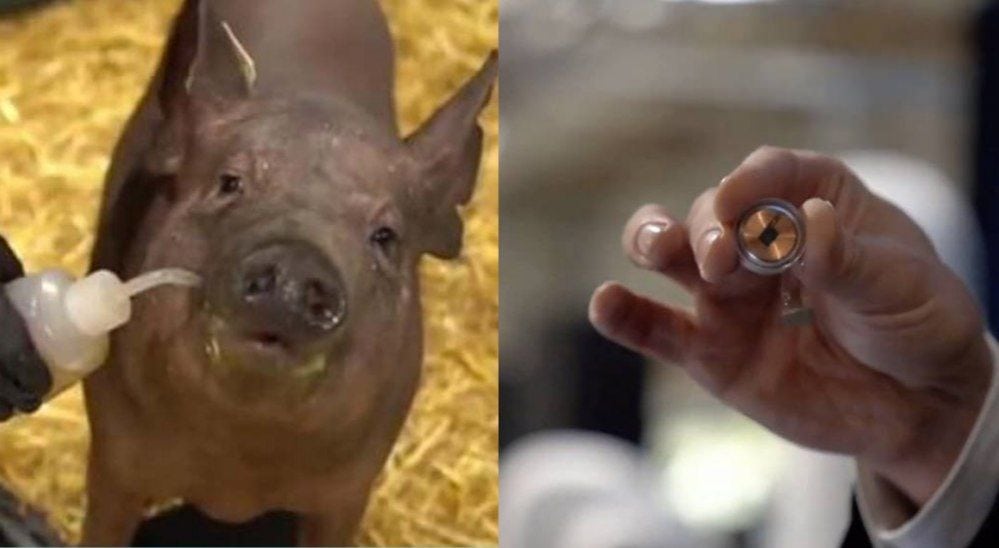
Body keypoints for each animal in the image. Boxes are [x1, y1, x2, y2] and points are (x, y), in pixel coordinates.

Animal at [82, 0, 496, 544]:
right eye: (229, 183)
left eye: (386, 236)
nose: (299, 262)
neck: (237, 475)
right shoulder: (115, 455)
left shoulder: (348, 489)